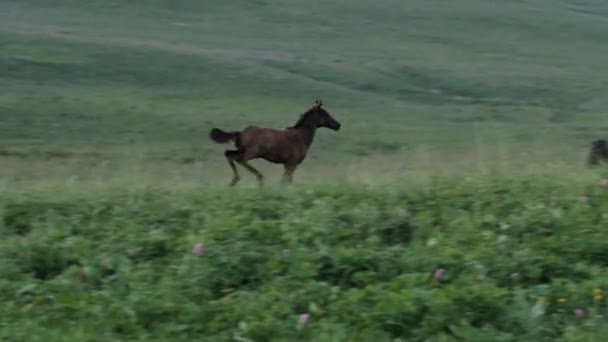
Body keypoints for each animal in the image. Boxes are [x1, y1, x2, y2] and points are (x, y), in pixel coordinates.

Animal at [209, 100, 342, 186]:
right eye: (325, 114)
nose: (338, 125)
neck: (301, 136)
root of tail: (240, 133)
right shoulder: (291, 163)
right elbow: (286, 181)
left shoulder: (287, 164)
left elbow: (285, 181)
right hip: (252, 152)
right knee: (239, 159)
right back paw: (259, 178)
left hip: (241, 150)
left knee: (228, 154)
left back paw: (234, 180)